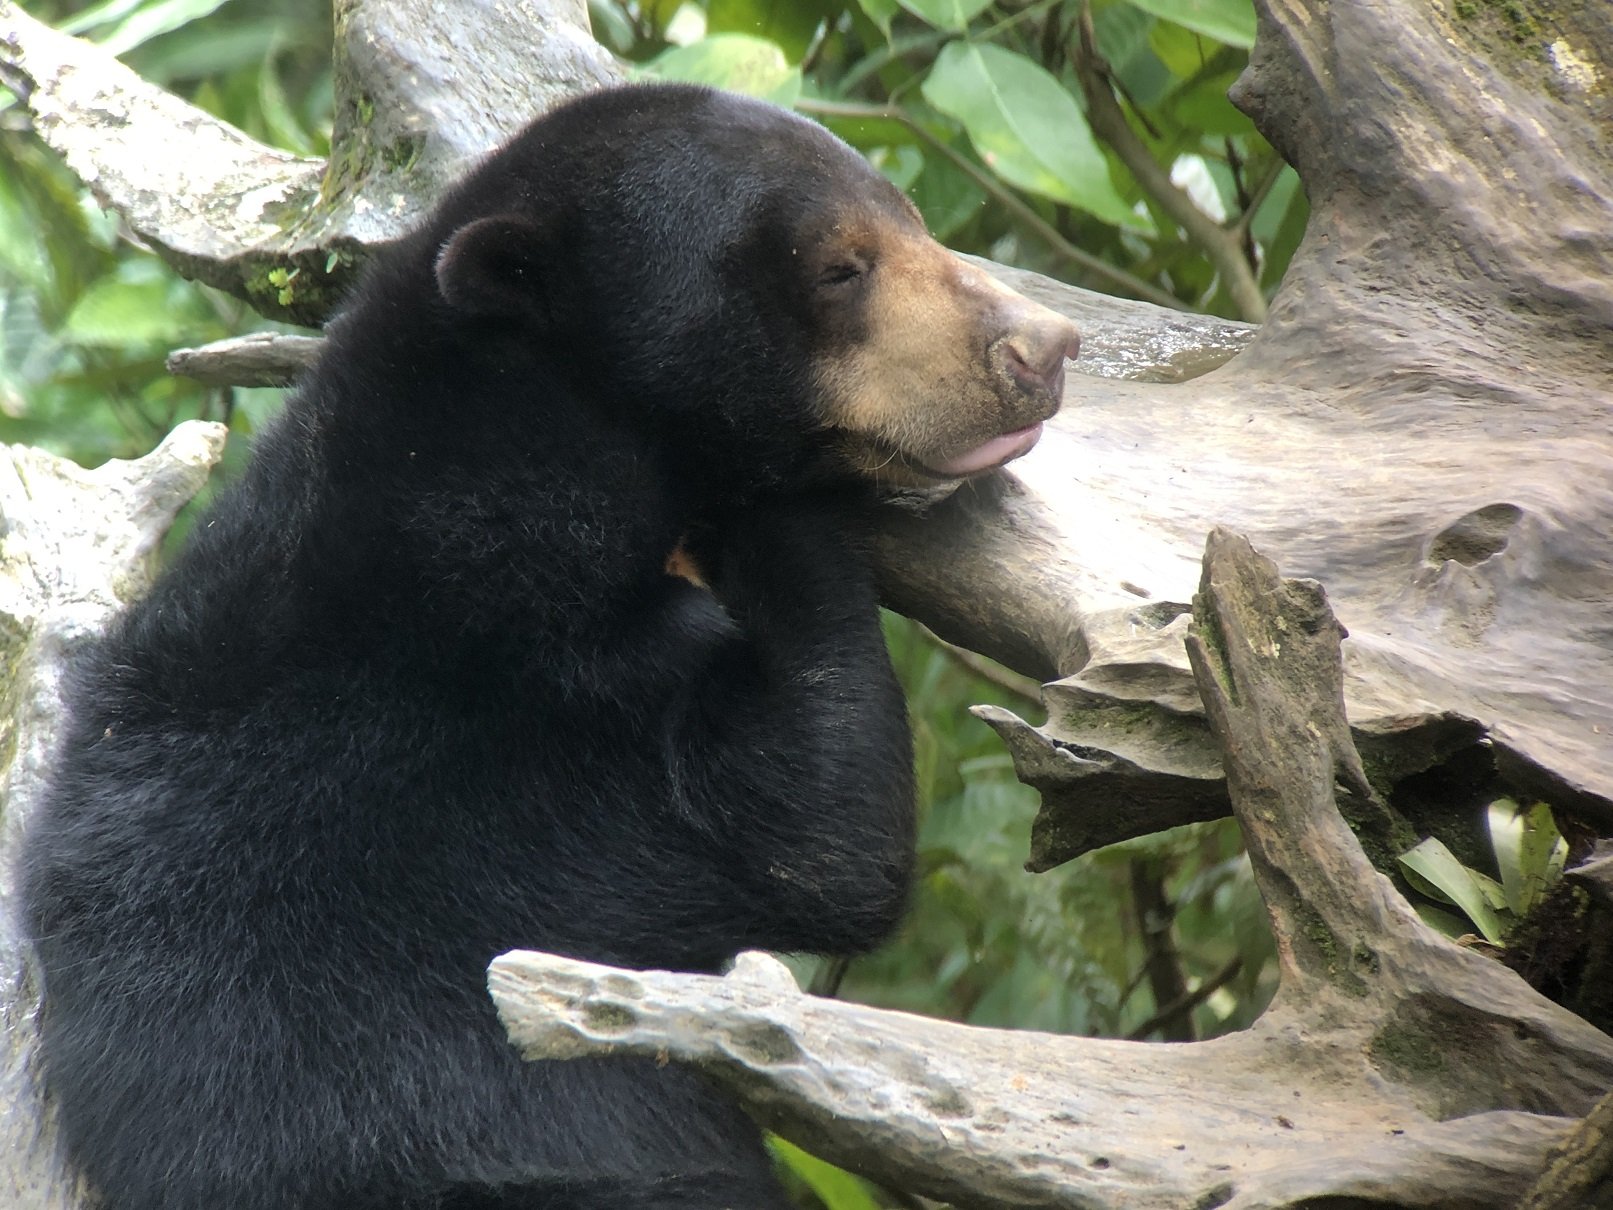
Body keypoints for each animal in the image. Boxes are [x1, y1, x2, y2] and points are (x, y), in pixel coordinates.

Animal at [18, 85, 1077, 1210]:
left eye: (911, 216)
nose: (1044, 348)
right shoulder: (532, 730)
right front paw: (780, 526)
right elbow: (812, 837)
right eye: (840, 266)